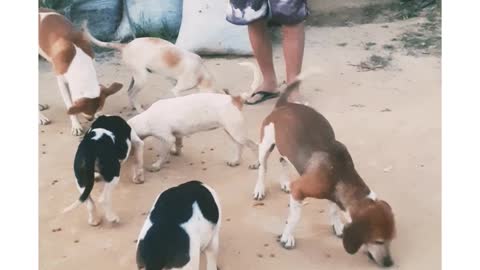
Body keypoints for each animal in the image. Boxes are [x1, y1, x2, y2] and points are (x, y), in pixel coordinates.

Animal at [82, 21, 214, 113]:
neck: (201, 73)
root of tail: (126, 46)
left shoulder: (174, 83)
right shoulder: (177, 90)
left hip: (136, 77)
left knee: (129, 92)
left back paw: (134, 106)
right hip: (142, 79)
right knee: (132, 93)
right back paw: (139, 110)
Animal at [253, 74, 396, 268]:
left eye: (391, 240)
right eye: (378, 241)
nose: (390, 263)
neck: (340, 172)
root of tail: (283, 105)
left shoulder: (332, 194)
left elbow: (334, 210)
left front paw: (337, 226)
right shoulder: (299, 190)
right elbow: (294, 218)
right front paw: (287, 237)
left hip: (285, 148)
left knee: (283, 161)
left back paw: (285, 182)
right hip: (266, 146)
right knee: (263, 168)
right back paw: (259, 189)